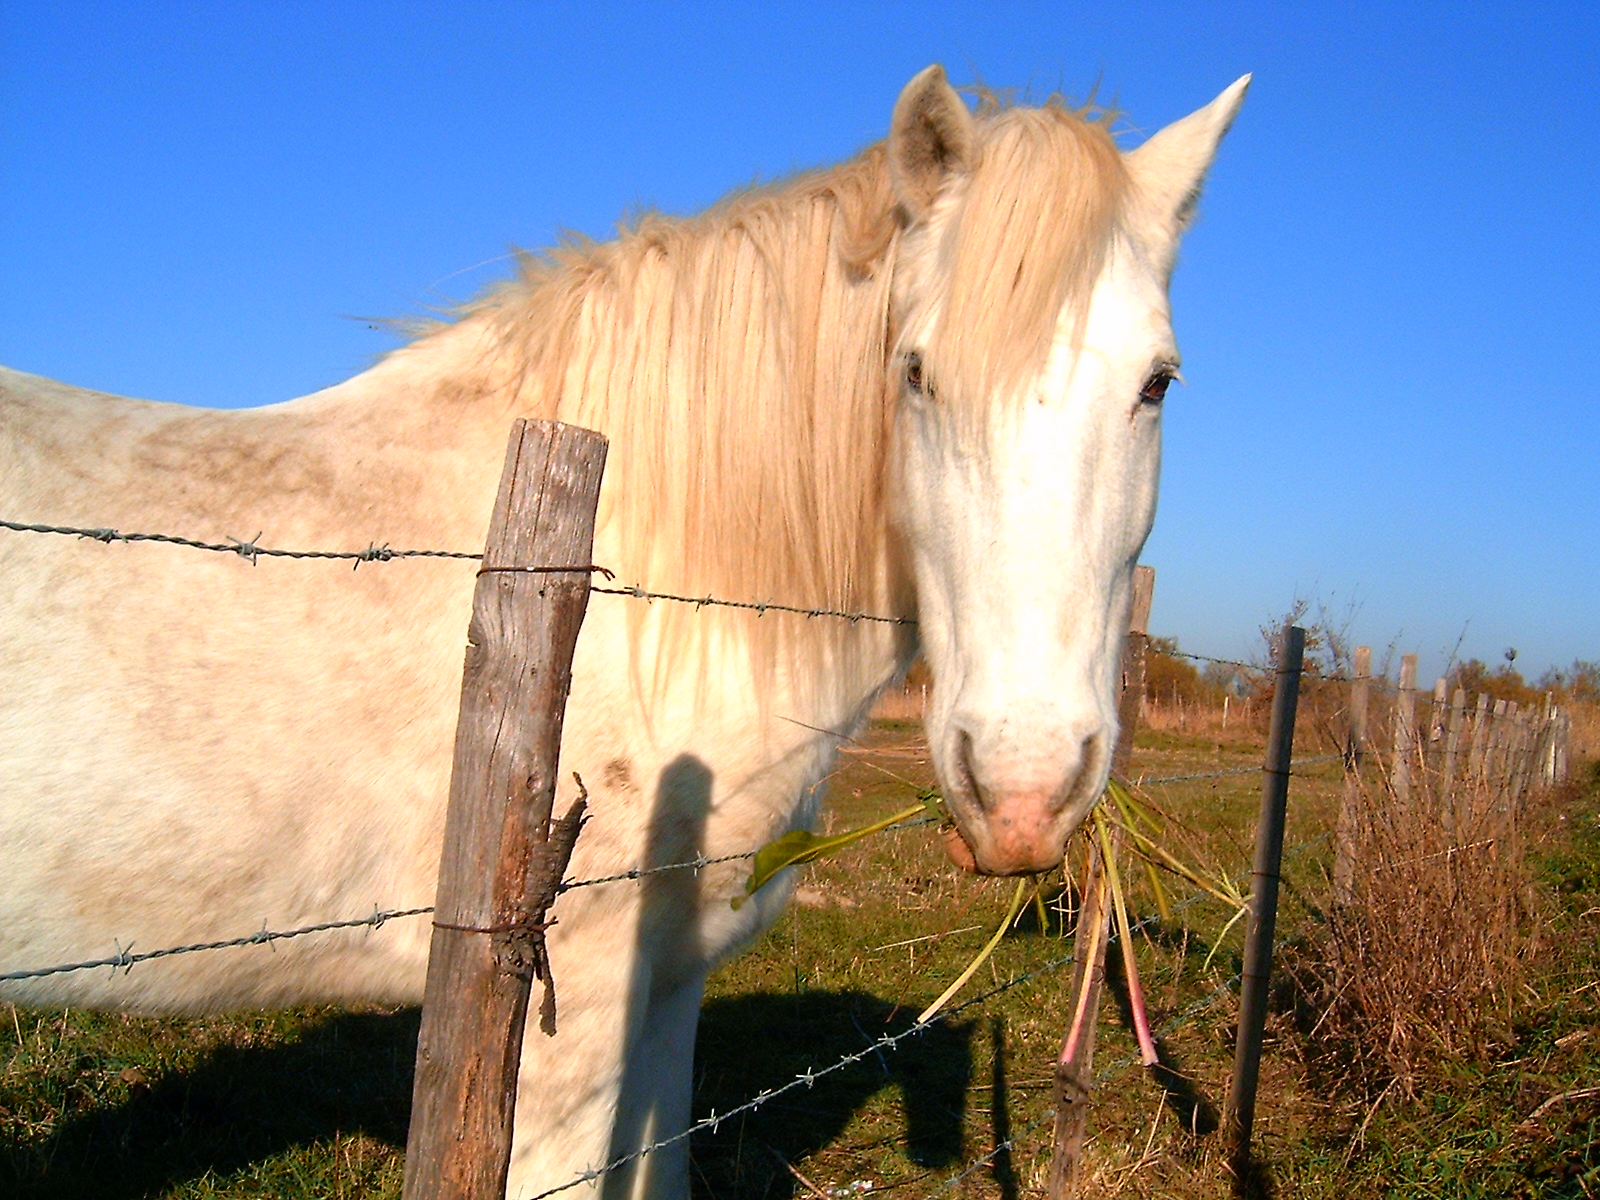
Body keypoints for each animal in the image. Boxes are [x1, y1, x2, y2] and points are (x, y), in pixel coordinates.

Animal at [0, 68, 1248, 1200]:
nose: (1021, 791)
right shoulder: (570, 1021)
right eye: (915, 373)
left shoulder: (667, 990)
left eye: (1156, 384)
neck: (637, 581)